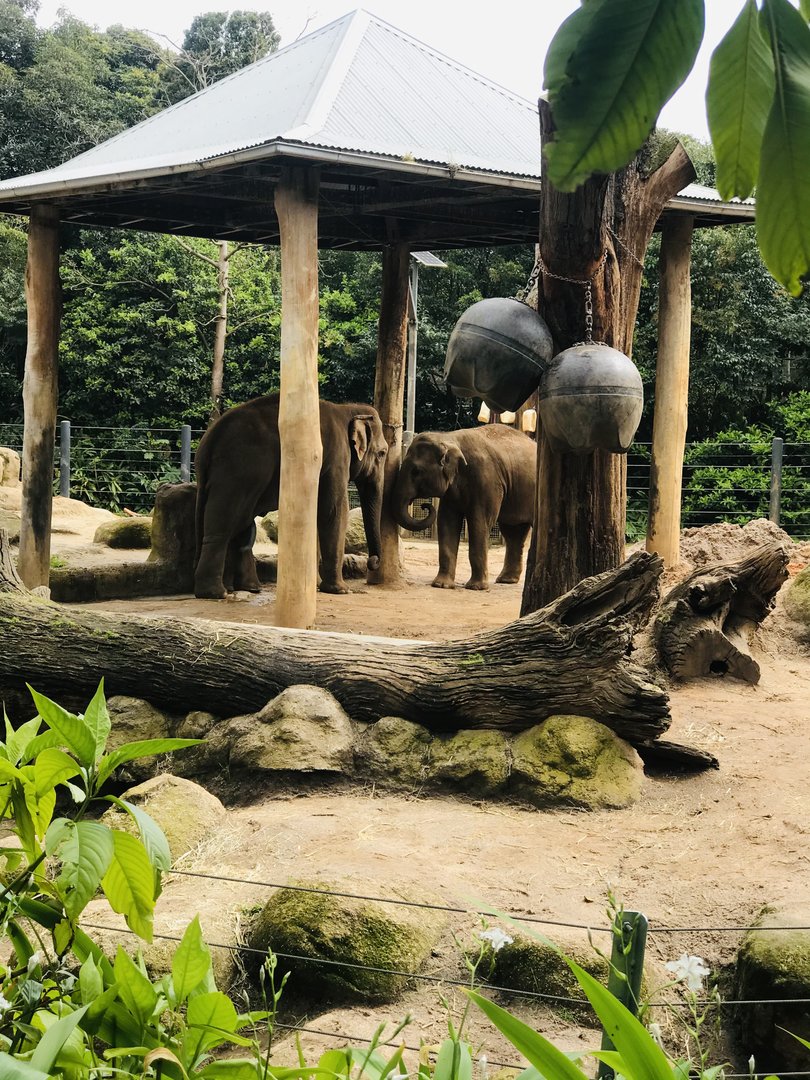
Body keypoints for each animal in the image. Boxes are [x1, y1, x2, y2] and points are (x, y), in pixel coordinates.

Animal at [194, 394, 387, 599]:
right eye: (382, 453)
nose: (372, 561)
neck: (346, 408)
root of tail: (207, 443)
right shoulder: (336, 458)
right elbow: (334, 511)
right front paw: (341, 590)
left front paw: (315, 587)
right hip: (237, 470)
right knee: (225, 524)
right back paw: (216, 593)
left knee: (241, 524)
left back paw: (245, 588)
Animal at [392, 424, 536, 590]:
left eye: (416, 471)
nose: (424, 506)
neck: (449, 438)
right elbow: (447, 522)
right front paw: (441, 585)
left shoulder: (486, 480)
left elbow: (479, 522)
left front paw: (476, 587)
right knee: (513, 532)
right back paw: (506, 580)